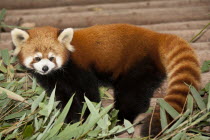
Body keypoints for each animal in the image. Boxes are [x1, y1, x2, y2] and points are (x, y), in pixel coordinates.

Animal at [11, 24, 200, 137]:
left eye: (51, 58)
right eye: (37, 58)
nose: (45, 68)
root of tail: (156, 36)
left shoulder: (80, 68)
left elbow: (89, 94)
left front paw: (90, 118)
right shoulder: (55, 80)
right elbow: (65, 99)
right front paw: (69, 120)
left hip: (138, 64)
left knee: (131, 94)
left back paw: (120, 118)